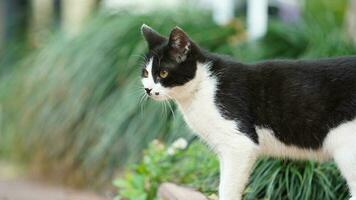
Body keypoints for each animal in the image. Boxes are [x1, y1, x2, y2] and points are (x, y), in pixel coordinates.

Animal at [139, 25, 356, 200]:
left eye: (163, 73)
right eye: (145, 73)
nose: (148, 89)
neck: (201, 87)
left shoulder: (239, 144)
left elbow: (228, 188)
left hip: (346, 147)